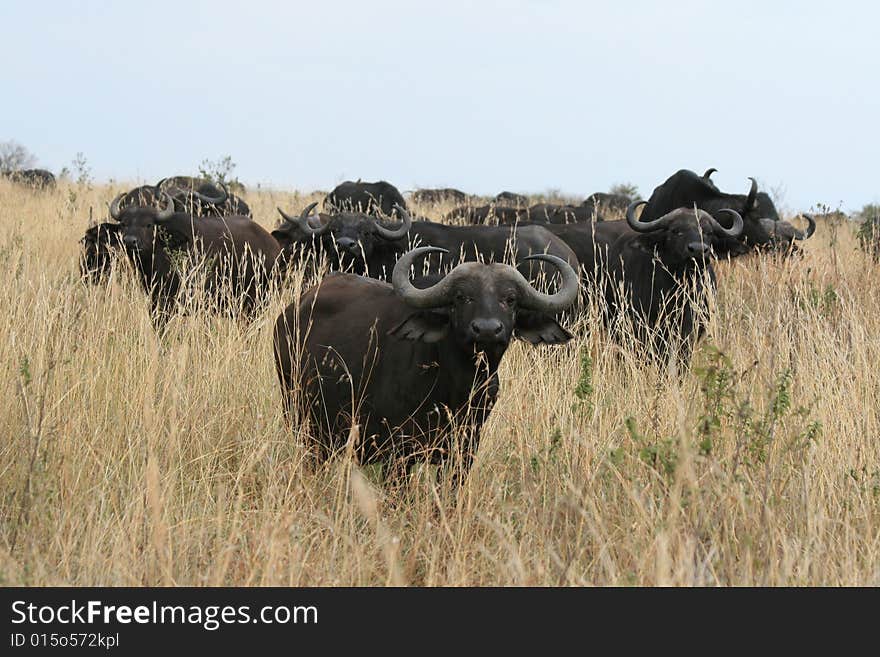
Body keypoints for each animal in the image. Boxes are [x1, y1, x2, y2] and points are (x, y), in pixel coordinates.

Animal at [274, 246, 576, 482]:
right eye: (461, 297)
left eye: (510, 299)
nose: (487, 330)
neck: (457, 386)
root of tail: (290, 313)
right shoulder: (398, 452)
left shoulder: (464, 450)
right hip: (303, 422)